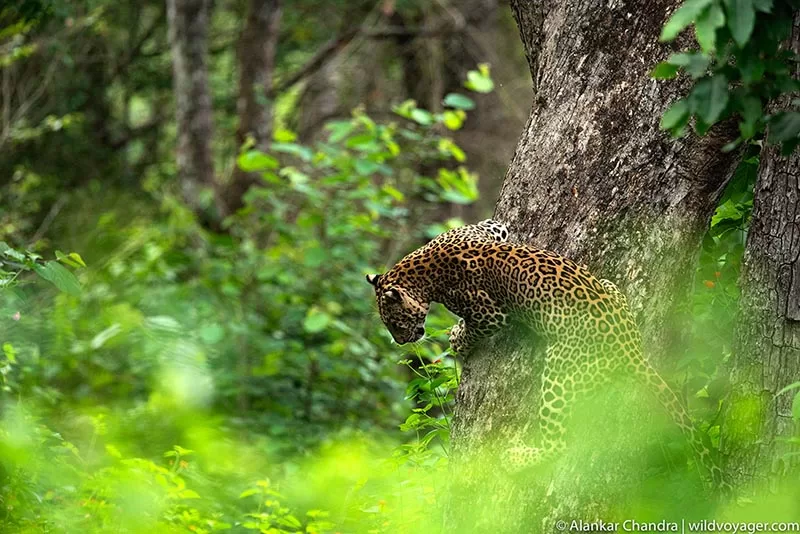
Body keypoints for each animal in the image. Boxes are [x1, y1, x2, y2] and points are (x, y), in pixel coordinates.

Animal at [366, 219, 728, 492]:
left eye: (394, 323)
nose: (401, 340)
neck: (420, 268)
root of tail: (629, 345)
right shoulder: (488, 228)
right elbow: (497, 223)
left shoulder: (489, 313)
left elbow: (473, 329)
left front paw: (457, 340)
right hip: (611, 289)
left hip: (560, 373)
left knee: (561, 442)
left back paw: (514, 458)